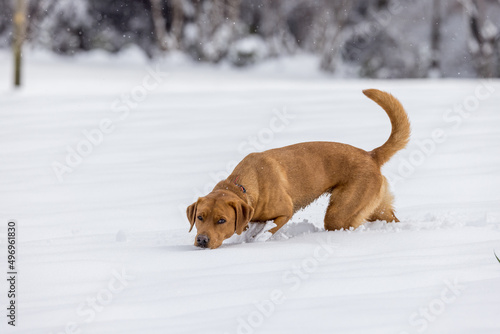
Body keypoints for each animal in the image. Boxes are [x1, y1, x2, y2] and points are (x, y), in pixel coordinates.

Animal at [188, 88, 410, 248]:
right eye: (200, 217)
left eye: (222, 220)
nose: (202, 240)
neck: (243, 186)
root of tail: (371, 154)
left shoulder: (284, 212)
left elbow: (266, 231)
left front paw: (257, 242)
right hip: (376, 207)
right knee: (392, 218)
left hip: (340, 212)